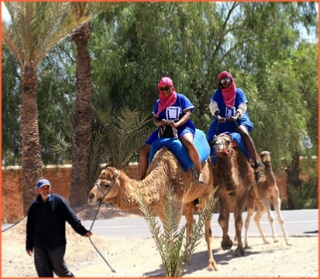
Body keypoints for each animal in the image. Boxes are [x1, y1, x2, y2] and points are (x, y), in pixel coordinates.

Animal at [87, 148, 218, 272]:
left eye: (107, 184)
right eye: (98, 180)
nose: (91, 196)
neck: (164, 176)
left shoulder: (176, 204)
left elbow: (172, 238)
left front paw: (173, 268)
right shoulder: (160, 207)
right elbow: (167, 238)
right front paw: (171, 266)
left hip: (207, 191)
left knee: (207, 225)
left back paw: (211, 264)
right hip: (189, 199)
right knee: (191, 222)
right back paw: (186, 259)